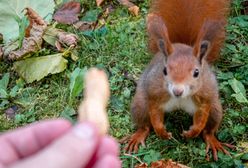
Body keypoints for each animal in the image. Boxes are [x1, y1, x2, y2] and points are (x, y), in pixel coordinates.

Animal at [125, 0, 233, 161]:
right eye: (164, 71)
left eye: (196, 72)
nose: (177, 91)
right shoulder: (154, 92)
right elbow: (154, 113)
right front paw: (162, 132)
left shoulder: (206, 94)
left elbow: (202, 114)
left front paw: (193, 132)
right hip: (140, 105)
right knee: (144, 124)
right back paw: (138, 135)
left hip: (216, 110)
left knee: (209, 129)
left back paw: (212, 140)